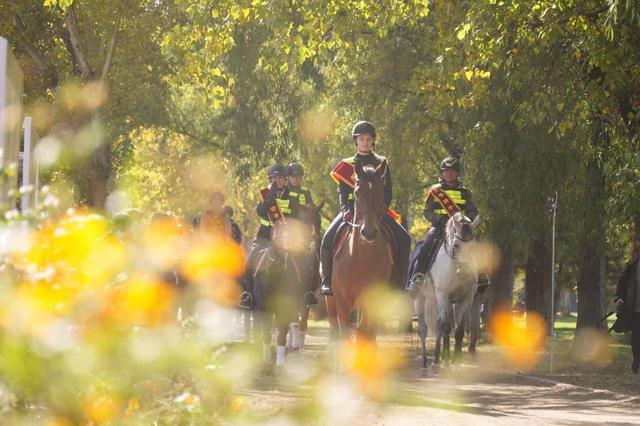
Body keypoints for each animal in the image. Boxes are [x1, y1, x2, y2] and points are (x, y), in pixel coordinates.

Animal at [252, 223, 304, 366]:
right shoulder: (263, 307)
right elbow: (266, 332)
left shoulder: (285, 306)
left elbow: (282, 334)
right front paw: (266, 359)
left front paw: (280, 362)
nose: (284, 260)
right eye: (276, 236)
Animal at [328, 158, 392, 344]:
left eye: (380, 193)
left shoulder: (371, 303)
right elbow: (345, 336)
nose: (368, 232)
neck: (361, 259)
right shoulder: (342, 303)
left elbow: (364, 335)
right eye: (356, 193)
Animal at [412, 212, 478, 370]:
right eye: (456, 245)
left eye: (473, 246)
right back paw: (425, 362)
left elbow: (459, 329)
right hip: (420, 299)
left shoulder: (466, 299)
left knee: (437, 326)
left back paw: (436, 359)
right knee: (423, 329)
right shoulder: (443, 295)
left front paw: (456, 359)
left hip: (440, 301)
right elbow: (447, 327)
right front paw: (447, 360)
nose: (464, 272)